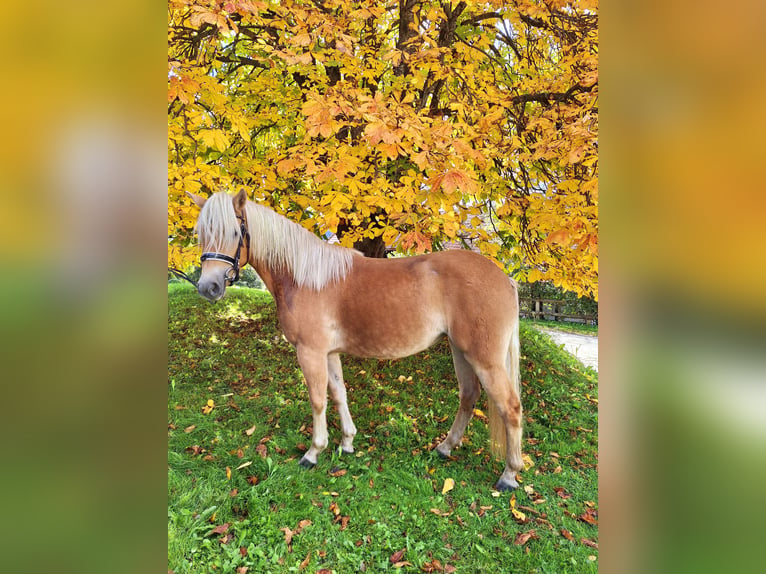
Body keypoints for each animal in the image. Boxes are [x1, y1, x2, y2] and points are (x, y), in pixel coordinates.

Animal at [184, 189, 528, 490]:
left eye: (234, 232)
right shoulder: (329, 353)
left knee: (510, 407)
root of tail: (505, 278)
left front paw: (313, 452)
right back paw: (444, 447)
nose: (208, 287)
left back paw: (509, 475)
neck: (304, 277)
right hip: (460, 350)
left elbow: (318, 400)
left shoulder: (310, 352)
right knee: (469, 396)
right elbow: (339, 395)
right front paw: (346, 442)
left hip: (484, 358)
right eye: (201, 233)